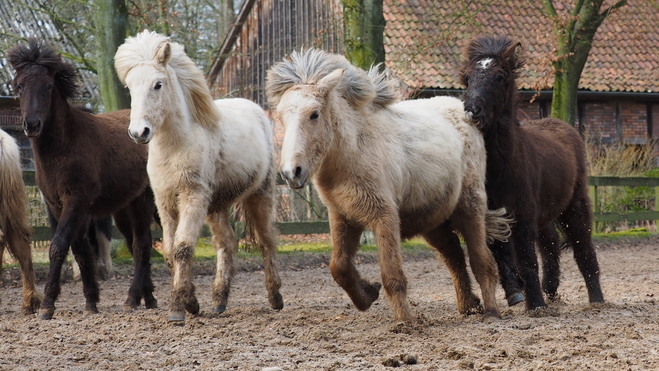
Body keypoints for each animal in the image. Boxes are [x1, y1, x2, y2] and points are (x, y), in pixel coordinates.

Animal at [7, 39, 159, 322]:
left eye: (49, 86)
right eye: (19, 85)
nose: (32, 125)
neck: (66, 144)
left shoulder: (75, 200)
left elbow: (58, 246)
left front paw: (48, 305)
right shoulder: (56, 205)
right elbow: (80, 250)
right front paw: (91, 301)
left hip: (142, 202)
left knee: (142, 245)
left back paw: (132, 299)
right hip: (123, 209)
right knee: (135, 246)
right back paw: (149, 298)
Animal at [114, 31, 284, 322]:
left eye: (158, 84)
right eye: (130, 87)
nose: (139, 132)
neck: (175, 146)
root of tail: (256, 110)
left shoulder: (191, 197)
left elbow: (182, 248)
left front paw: (177, 309)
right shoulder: (165, 203)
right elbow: (170, 252)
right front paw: (191, 303)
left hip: (260, 195)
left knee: (267, 241)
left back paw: (275, 298)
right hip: (216, 206)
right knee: (227, 243)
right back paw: (218, 301)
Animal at [264, 49, 510, 322]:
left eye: (314, 114)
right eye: (281, 117)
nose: (291, 172)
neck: (353, 151)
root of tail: (465, 113)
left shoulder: (384, 216)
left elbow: (392, 275)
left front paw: (406, 322)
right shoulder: (342, 216)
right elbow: (339, 267)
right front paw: (368, 294)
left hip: (470, 207)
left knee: (481, 261)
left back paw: (491, 311)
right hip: (432, 220)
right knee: (453, 254)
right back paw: (468, 304)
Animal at [462, 35, 604, 310]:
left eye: (500, 77)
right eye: (467, 77)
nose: (472, 111)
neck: (500, 172)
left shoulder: (523, 214)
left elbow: (527, 259)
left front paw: (535, 304)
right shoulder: (493, 216)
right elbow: (502, 257)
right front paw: (516, 294)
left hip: (575, 202)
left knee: (582, 246)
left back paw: (596, 299)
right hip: (545, 211)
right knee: (550, 244)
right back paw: (550, 289)